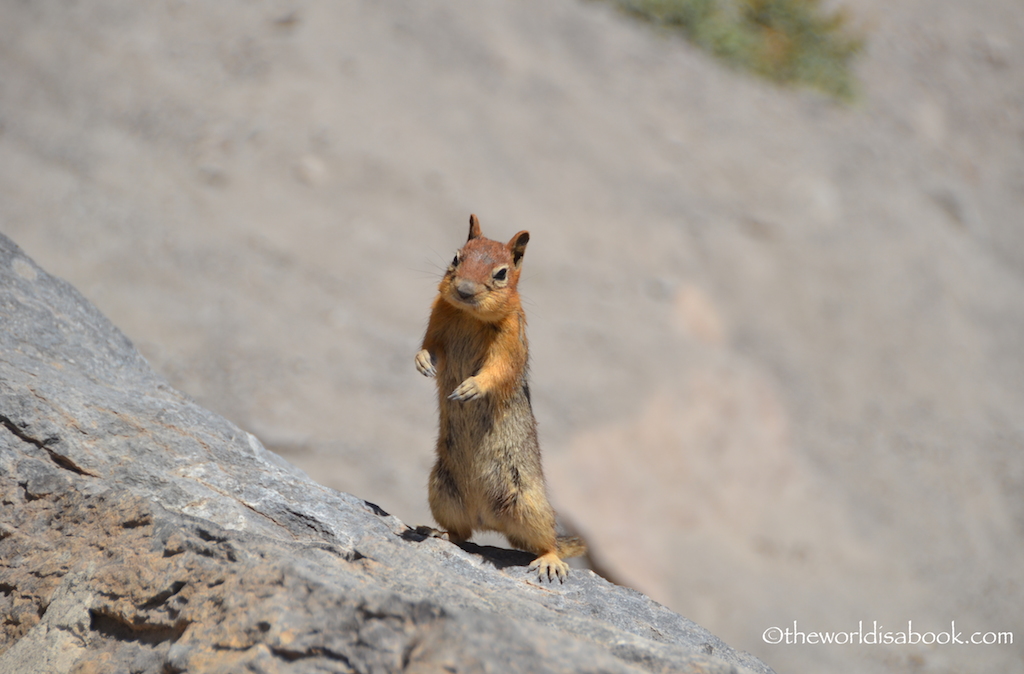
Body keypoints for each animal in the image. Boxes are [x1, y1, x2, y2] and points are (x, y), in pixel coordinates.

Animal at [415, 214, 585, 577]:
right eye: (456, 257)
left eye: (501, 273)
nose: (464, 290)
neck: (469, 315)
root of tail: (488, 520)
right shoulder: (437, 319)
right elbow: (428, 345)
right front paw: (422, 362)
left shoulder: (510, 338)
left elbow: (499, 370)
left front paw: (472, 387)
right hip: (442, 491)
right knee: (461, 533)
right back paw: (437, 532)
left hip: (529, 504)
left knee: (546, 540)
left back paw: (550, 561)